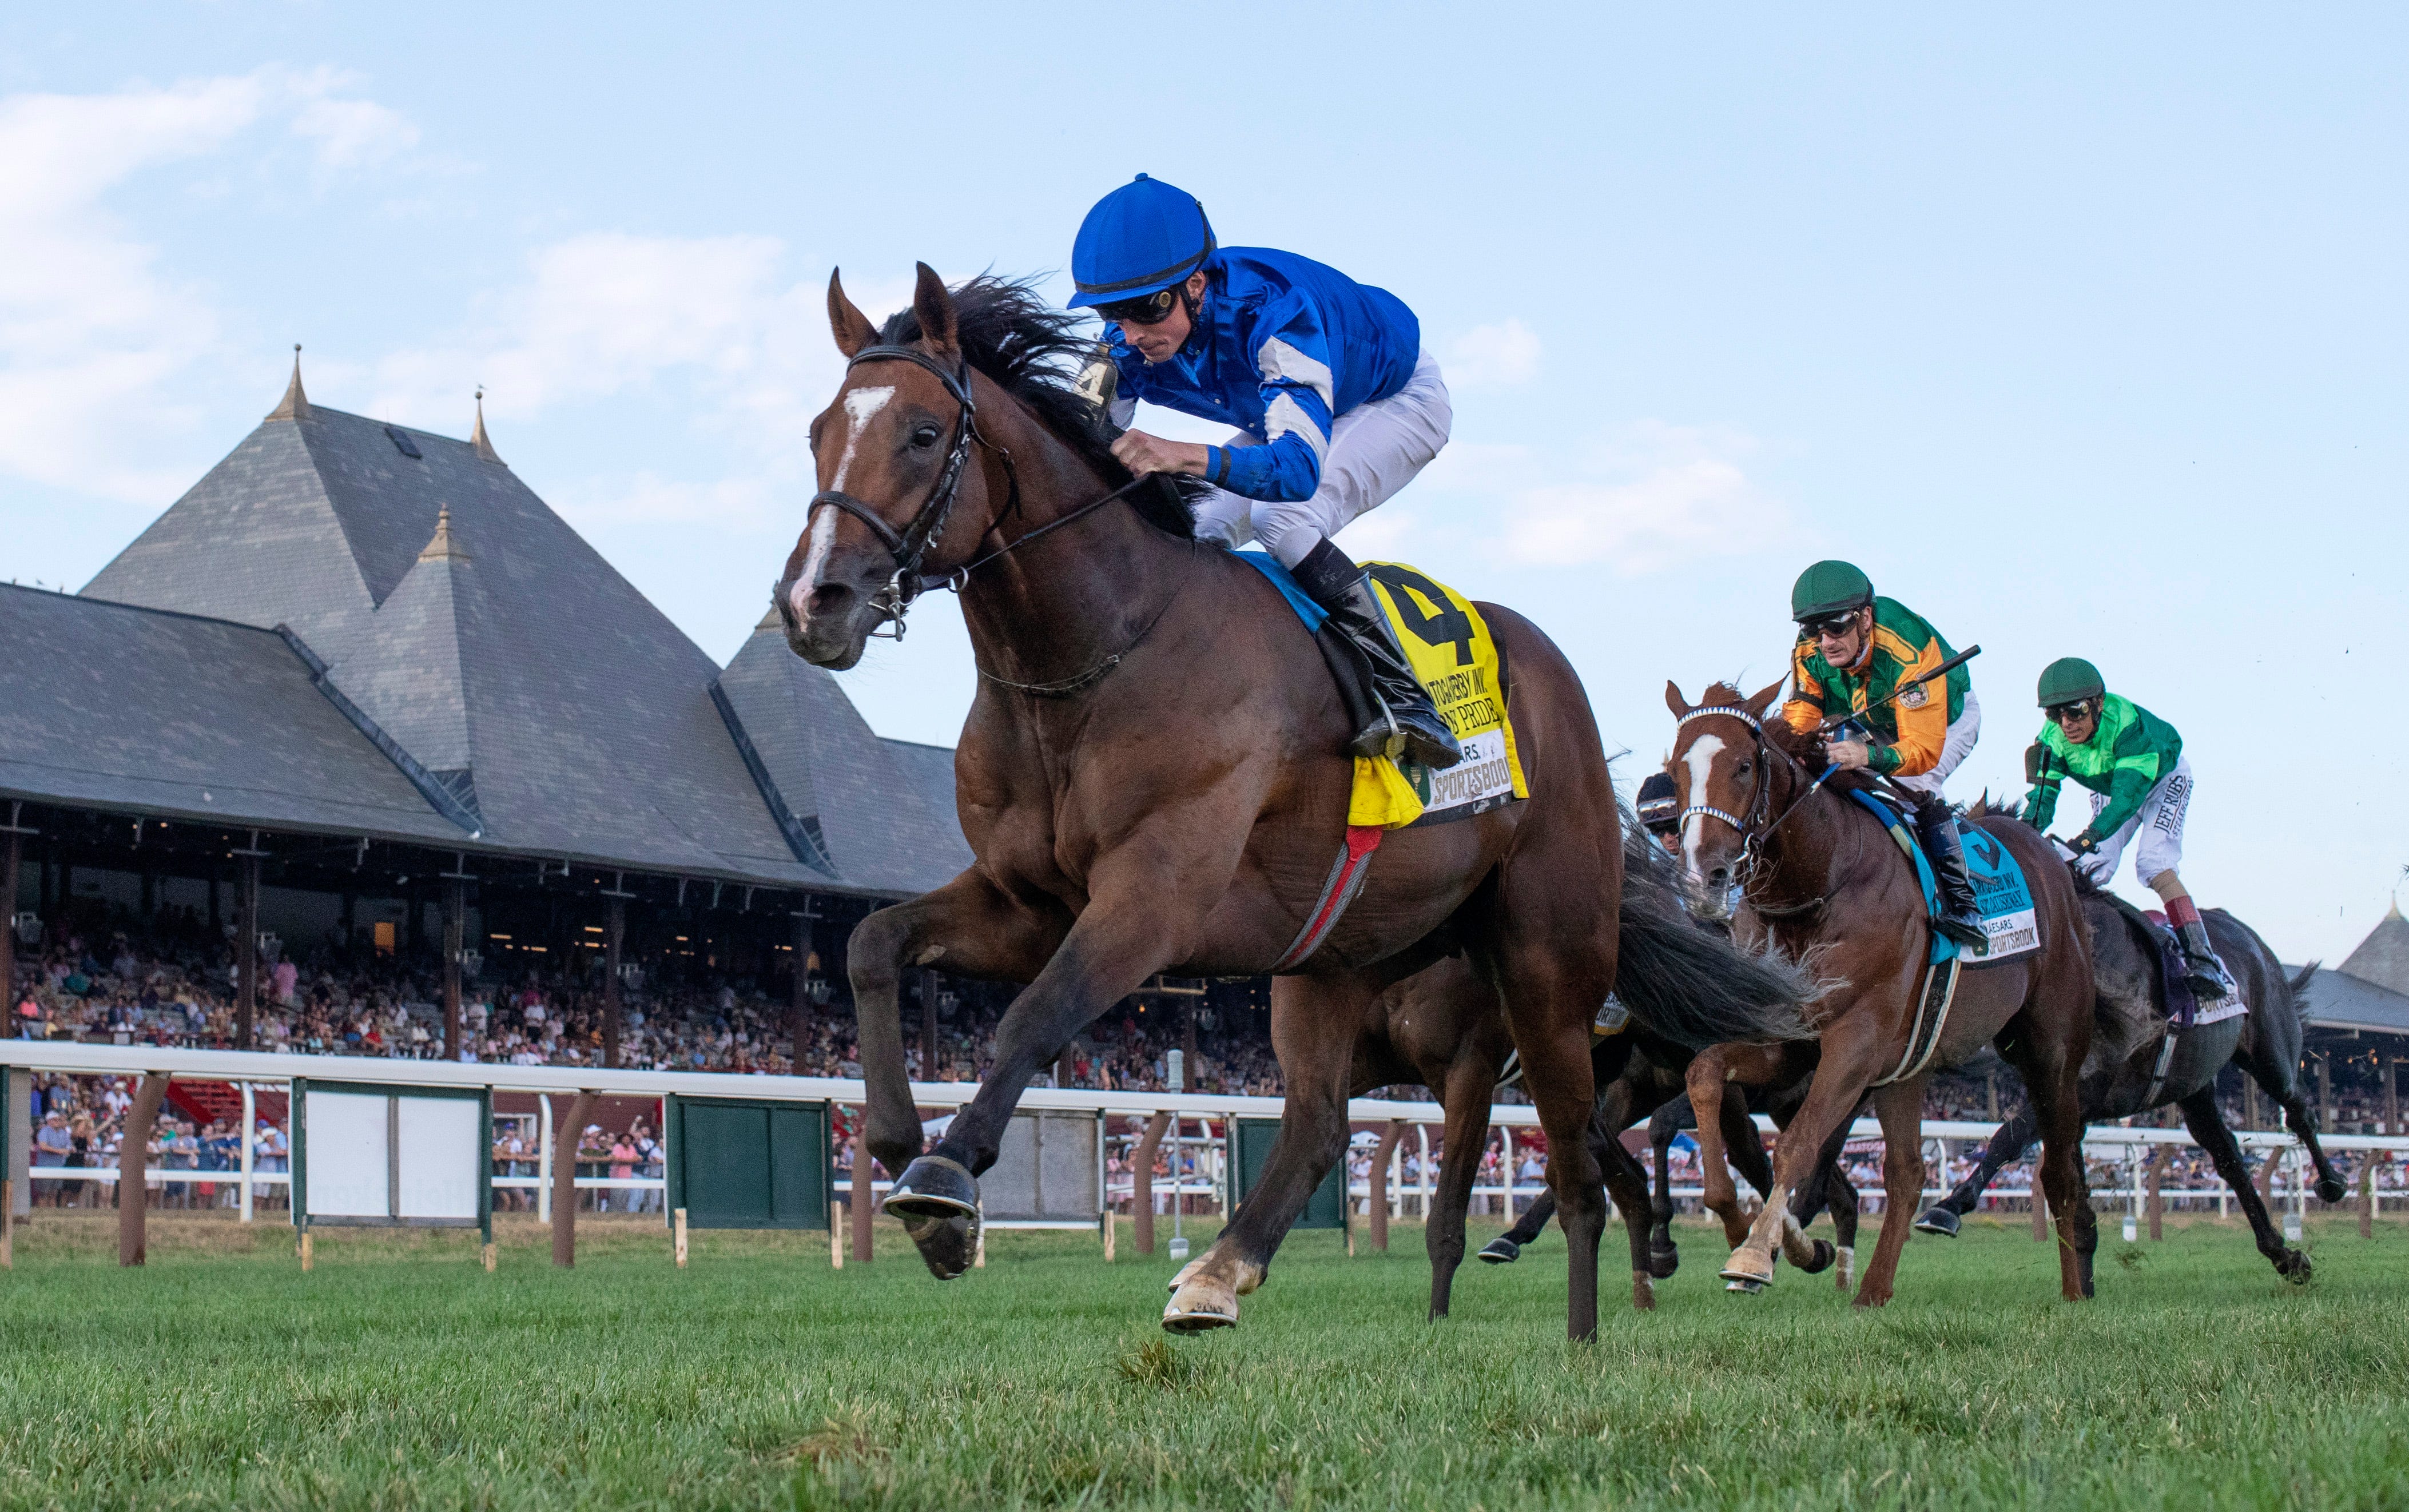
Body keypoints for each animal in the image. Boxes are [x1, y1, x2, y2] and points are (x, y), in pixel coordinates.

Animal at [1667, 679, 2100, 1310]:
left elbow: (1796, 1143)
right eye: (1674, 770)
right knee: (1908, 1172)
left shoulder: (1856, 1042)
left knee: (2058, 1169)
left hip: (2052, 1051)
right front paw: (1751, 1224)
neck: (1822, 882)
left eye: (1745, 766)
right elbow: (1704, 1074)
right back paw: (1872, 1290)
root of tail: (2050, 858)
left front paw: (1753, 1256)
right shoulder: (1790, 1041)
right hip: (1910, 1064)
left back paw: (2073, 1294)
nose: (1705, 878)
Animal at [1907, 881, 2342, 1280]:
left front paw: (1947, 1207)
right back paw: (2285, 1255)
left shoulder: (2086, 1087)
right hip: (2195, 1086)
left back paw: (2332, 1183)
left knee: (2299, 1108)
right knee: (2229, 1156)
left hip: (2270, 1051)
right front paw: (2081, 1273)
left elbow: (2007, 1138)